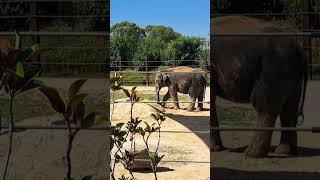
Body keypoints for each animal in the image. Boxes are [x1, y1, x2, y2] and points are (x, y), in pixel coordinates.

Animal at [211, 16, 308, 158]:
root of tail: (297, 45)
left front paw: (214, 149)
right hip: (291, 71)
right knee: (290, 107)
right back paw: (285, 151)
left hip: (273, 67)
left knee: (264, 105)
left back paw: (252, 153)